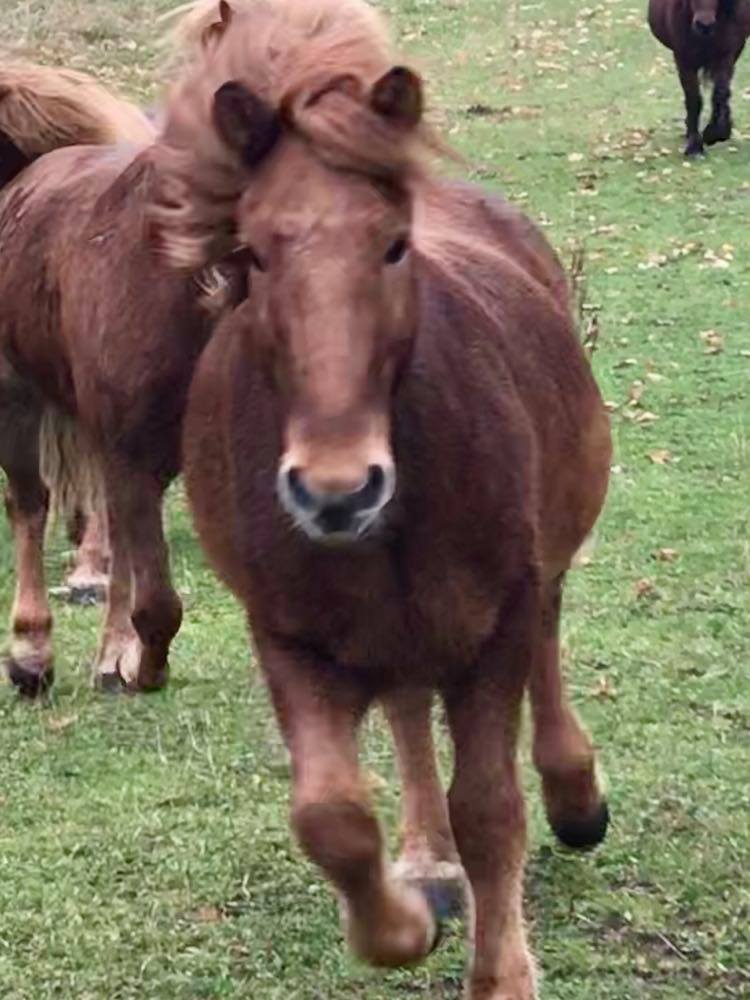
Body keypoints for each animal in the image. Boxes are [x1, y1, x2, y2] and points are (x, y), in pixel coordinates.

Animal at [150, 0, 612, 992]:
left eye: (393, 245)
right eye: (253, 253)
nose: (336, 492)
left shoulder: (499, 623)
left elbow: (491, 809)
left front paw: (503, 973)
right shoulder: (290, 638)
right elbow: (331, 818)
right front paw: (400, 922)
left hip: (534, 578)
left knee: (549, 655)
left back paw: (575, 797)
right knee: (405, 710)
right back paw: (428, 863)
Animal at [648, 0, 750, 155]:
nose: (704, 26)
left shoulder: (726, 55)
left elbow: (720, 94)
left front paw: (715, 133)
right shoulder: (684, 59)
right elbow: (693, 99)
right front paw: (694, 147)